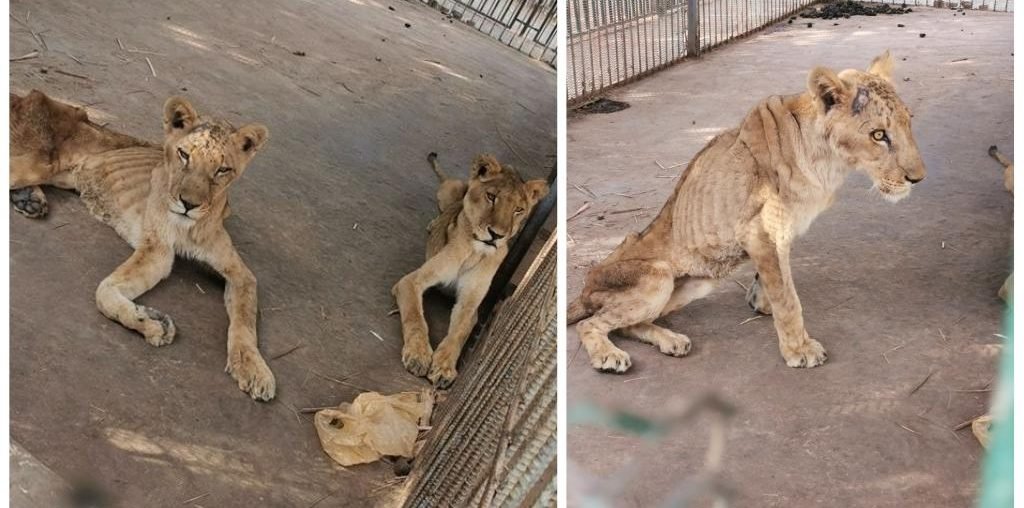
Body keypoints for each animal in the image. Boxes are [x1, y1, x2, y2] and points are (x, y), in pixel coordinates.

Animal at [11, 91, 276, 401]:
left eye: (223, 169)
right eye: (184, 155)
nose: (188, 204)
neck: (189, 226)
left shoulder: (239, 273)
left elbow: (245, 321)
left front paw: (253, 368)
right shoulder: (157, 251)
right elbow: (105, 292)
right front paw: (152, 324)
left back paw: (29, 200)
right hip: (36, 163)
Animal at [391, 152, 548, 387]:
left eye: (519, 210)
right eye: (491, 196)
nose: (496, 235)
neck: (475, 250)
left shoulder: (470, 304)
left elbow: (459, 331)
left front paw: (444, 367)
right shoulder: (410, 281)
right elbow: (415, 317)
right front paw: (418, 355)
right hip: (452, 189)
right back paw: (433, 223)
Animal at [569, 51, 929, 372]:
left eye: (908, 123)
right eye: (878, 135)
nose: (918, 178)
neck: (829, 162)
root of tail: (585, 287)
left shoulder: (776, 233)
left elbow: (777, 280)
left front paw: (761, 301)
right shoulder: (762, 231)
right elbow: (788, 297)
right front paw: (798, 349)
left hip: (698, 283)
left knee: (628, 324)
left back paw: (672, 341)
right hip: (657, 276)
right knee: (591, 323)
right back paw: (609, 355)